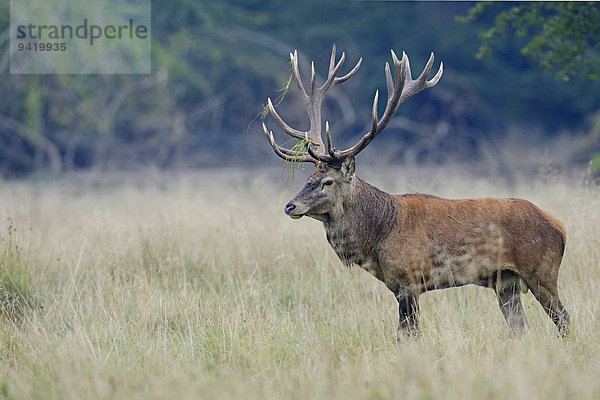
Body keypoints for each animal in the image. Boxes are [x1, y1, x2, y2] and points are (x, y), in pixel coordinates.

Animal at [260, 43, 568, 338]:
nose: (290, 206)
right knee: (520, 327)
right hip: (506, 282)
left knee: (563, 319)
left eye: (328, 181)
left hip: (541, 272)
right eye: (309, 177)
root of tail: (560, 227)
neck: (378, 235)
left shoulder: (409, 280)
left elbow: (409, 335)